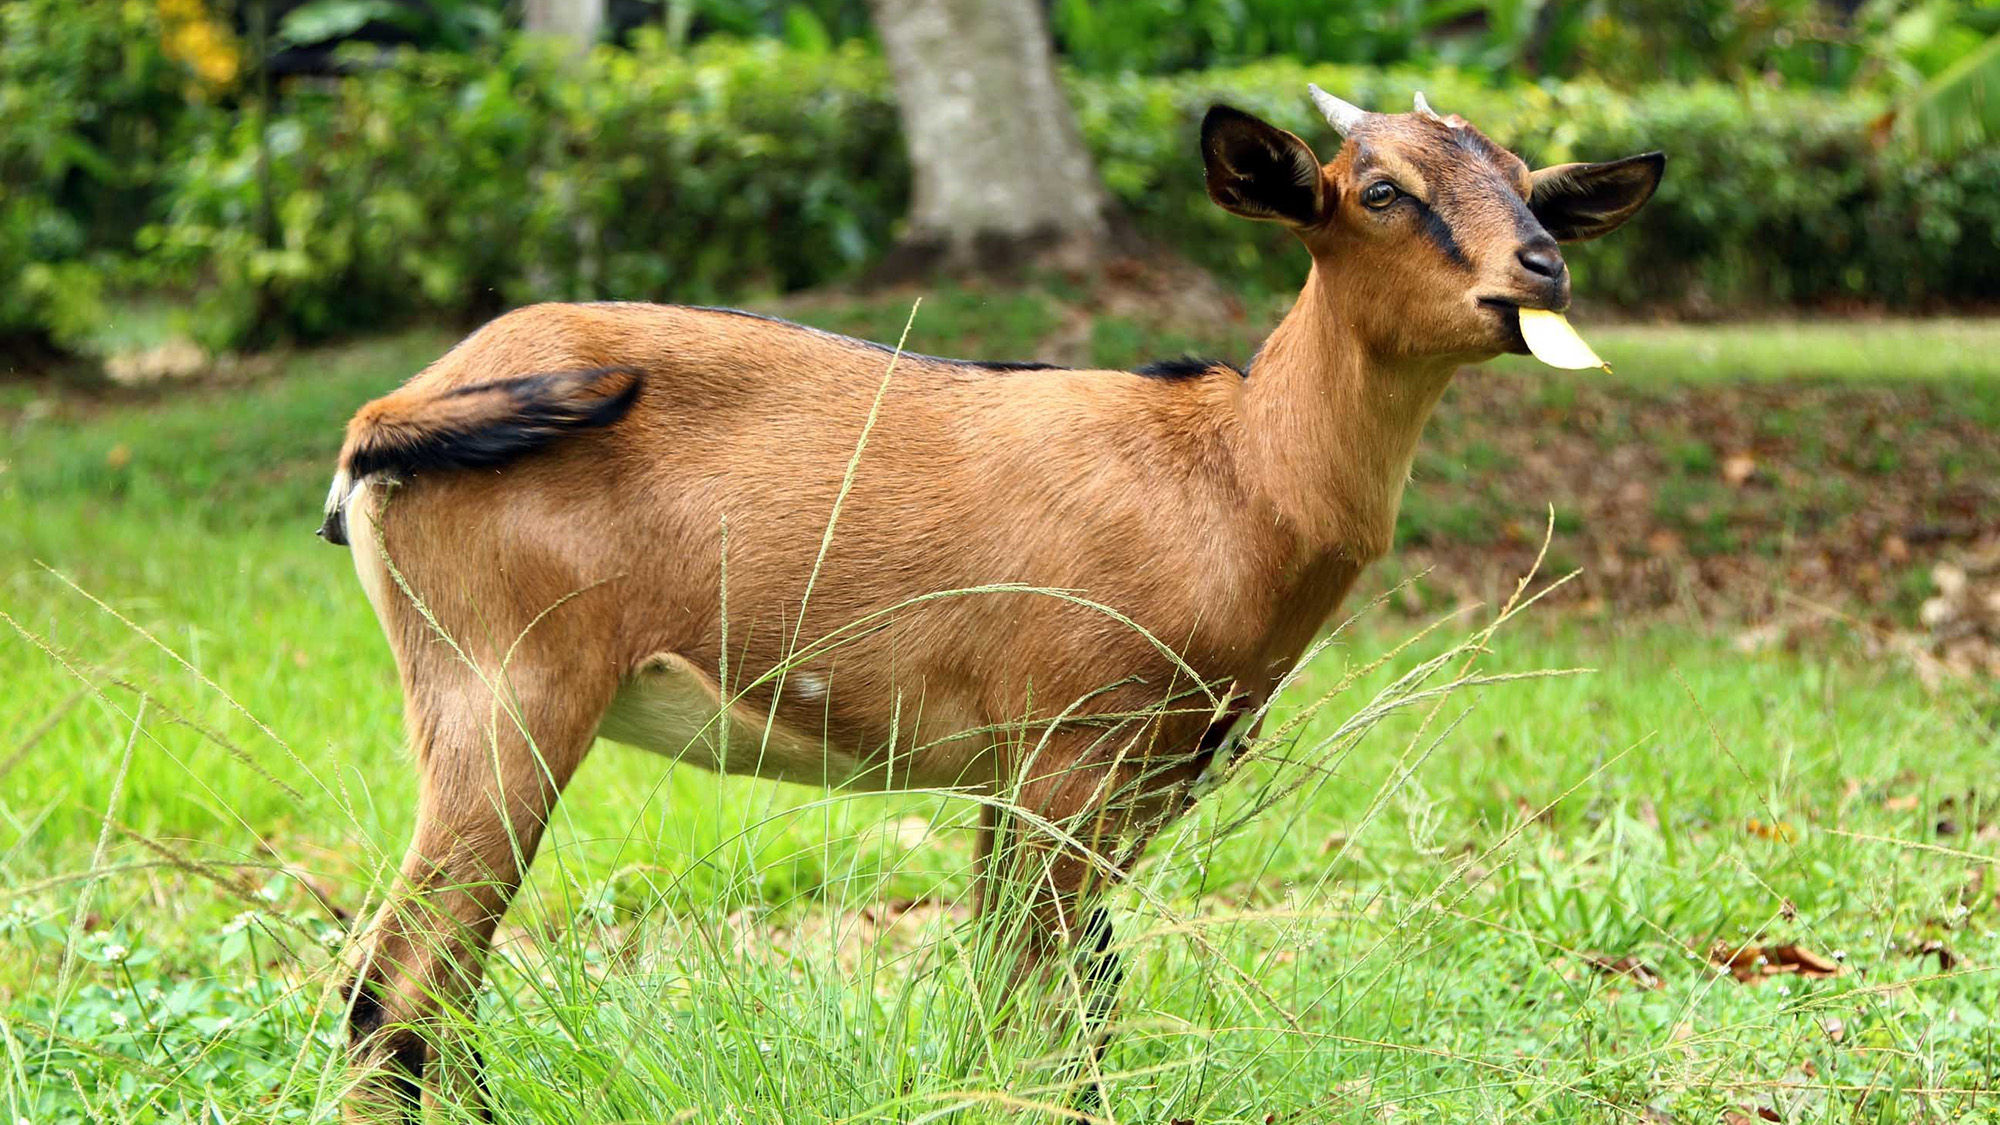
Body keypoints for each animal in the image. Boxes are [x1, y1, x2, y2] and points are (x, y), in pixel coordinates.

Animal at [321, 85, 1663, 1119]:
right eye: (1379, 189)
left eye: (1529, 186)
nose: (1540, 268)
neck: (1230, 475)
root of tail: (394, 410)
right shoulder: (1065, 757)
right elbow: (1045, 998)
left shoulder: (1075, 782)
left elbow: (1046, 991)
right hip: (508, 690)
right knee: (395, 982)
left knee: (435, 982)